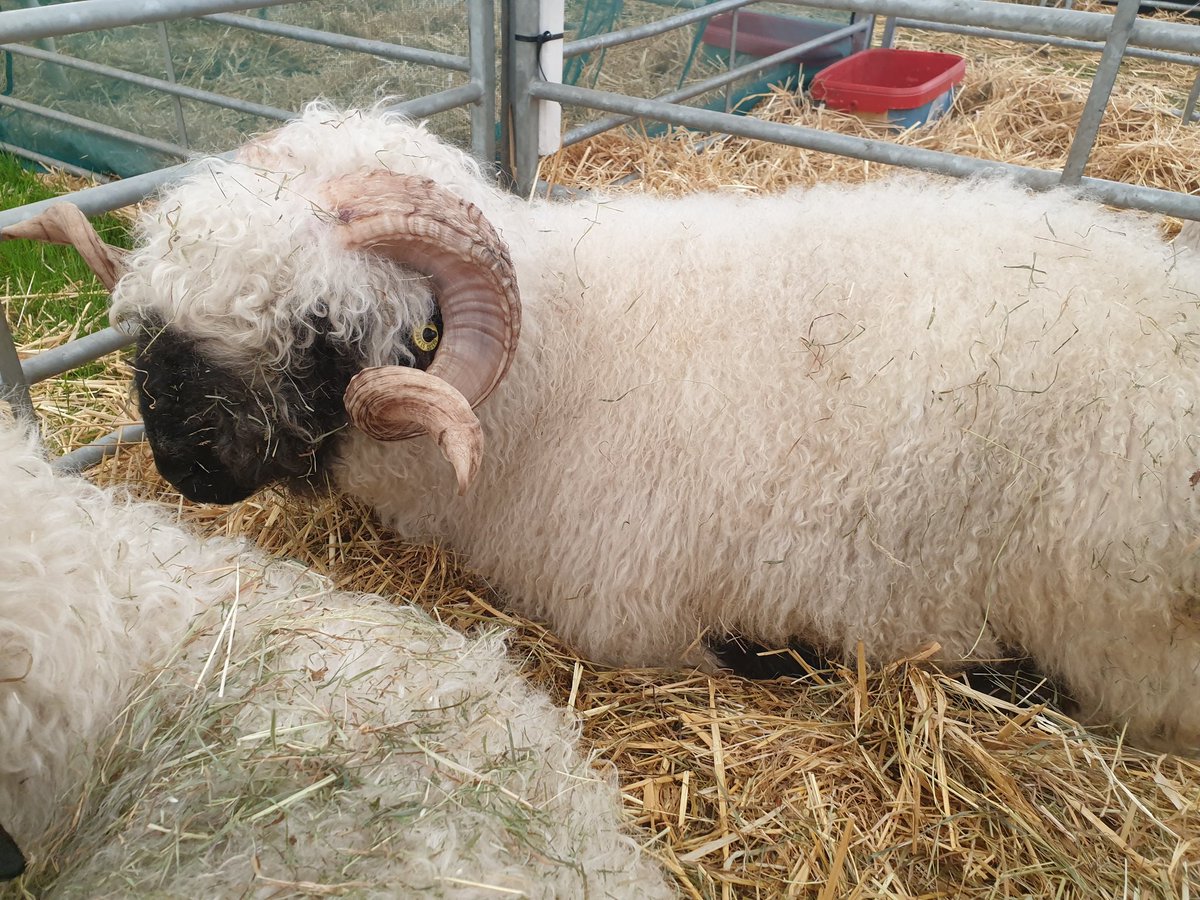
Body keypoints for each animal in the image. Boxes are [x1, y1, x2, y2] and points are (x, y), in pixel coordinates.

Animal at [20, 102, 1200, 753]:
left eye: (320, 327)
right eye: (156, 317)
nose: (182, 462)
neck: (551, 369)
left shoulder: (629, 620)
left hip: (1120, 635)